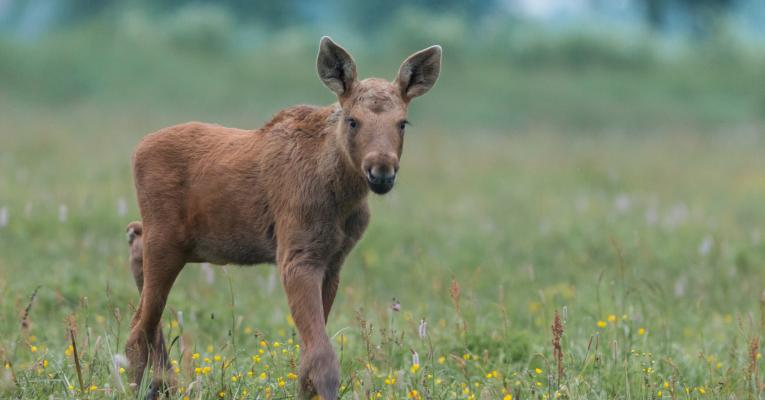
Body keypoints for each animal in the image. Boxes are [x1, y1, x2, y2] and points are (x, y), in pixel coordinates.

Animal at [124, 36, 441, 399]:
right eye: (352, 120)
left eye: (402, 123)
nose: (381, 171)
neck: (342, 195)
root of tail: (137, 150)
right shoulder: (297, 256)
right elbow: (322, 357)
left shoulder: (333, 262)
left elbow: (306, 360)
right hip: (166, 241)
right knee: (138, 329)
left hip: (181, 244)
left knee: (137, 263)